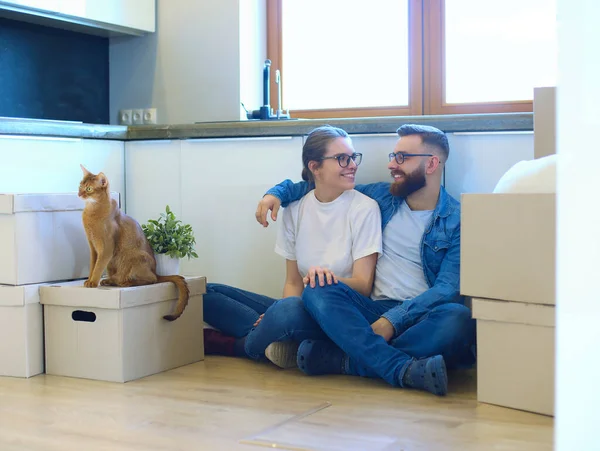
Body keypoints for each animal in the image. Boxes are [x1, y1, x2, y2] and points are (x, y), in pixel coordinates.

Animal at [78, 165, 189, 322]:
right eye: (80, 185)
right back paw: (110, 281)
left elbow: (98, 267)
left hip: (136, 257)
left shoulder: (106, 248)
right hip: (113, 264)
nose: (79, 193)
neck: (92, 211)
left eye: (88, 189)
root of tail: (156, 270)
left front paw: (93, 282)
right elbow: (93, 265)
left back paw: (126, 282)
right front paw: (89, 280)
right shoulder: (93, 248)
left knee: (152, 279)